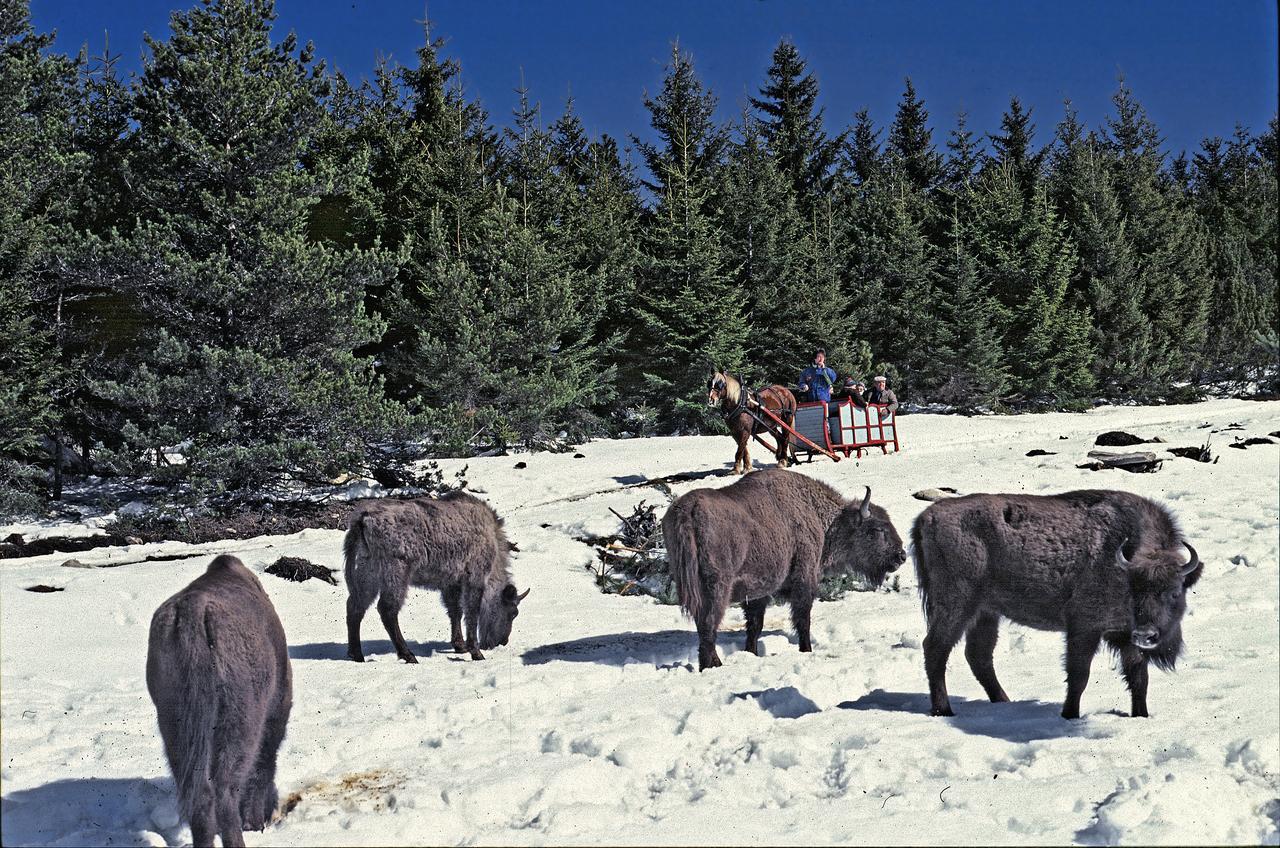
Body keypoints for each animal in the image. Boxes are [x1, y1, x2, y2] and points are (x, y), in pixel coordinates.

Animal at [343, 491, 527, 666]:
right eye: (513, 613)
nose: (502, 641)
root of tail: (362, 519)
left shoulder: (451, 583)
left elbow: (455, 611)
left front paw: (459, 645)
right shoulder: (474, 577)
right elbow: (471, 614)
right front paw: (475, 652)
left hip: (367, 572)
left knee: (355, 607)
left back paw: (356, 654)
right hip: (396, 571)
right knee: (387, 609)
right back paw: (408, 655)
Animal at [660, 471, 911, 671]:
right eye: (877, 529)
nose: (901, 555)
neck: (820, 518)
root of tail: (688, 511)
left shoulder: (757, 593)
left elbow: (754, 626)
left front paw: (751, 652)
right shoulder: (804, 579)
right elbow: (802, 619)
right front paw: (806, 650)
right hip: (717, 588)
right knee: (708, 624)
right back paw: (714, 665)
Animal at [911, 489, 1198, 722]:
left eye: (1175, 592)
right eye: (1133, 590)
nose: (1146, 634)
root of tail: (927, 517)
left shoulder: (1125, 637)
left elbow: (1139, 678)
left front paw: (1141, 715)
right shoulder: (1085, 628)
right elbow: (1079, 675)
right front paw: (1069, 715)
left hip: (986, 613)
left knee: (978, 656)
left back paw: (1003, 701)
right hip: (957, 606)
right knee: (936, 648)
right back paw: (944, 710)